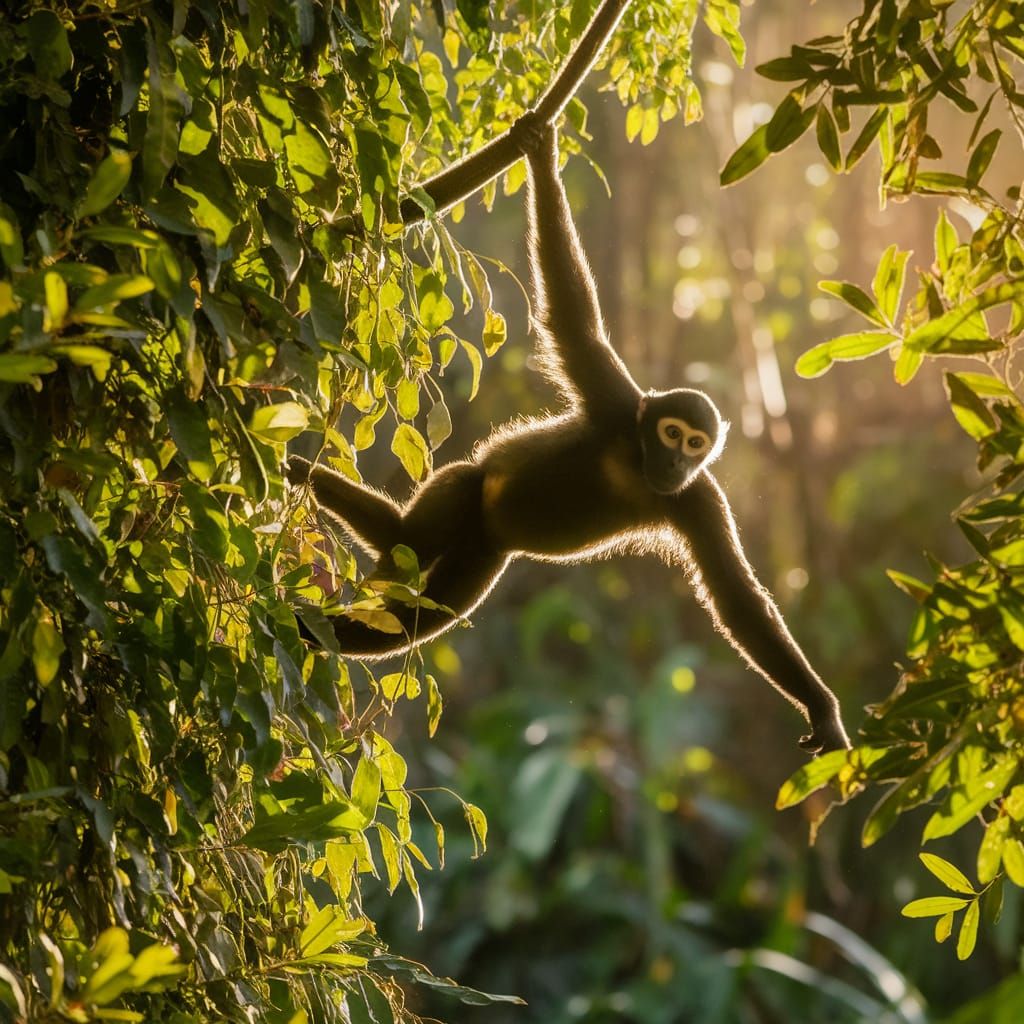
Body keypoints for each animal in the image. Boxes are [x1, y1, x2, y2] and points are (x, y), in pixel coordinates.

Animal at [289, 115, 850, 755]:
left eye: (696, 445)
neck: (636, 459)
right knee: (410, 536)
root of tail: (487, 532)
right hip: (469, 498)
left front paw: (821, 710)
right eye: (672, 433)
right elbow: (572, 320)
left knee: (420, 613)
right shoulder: (614, 401)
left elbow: (735, 598)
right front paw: (540, 152)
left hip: (482, 557)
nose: (677, 463)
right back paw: (304, 480)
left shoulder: (699, 499)